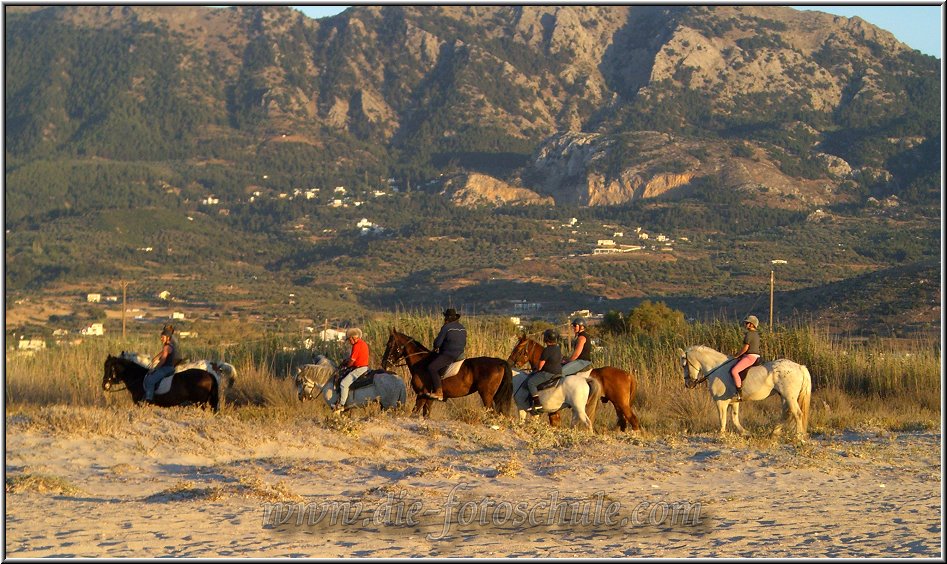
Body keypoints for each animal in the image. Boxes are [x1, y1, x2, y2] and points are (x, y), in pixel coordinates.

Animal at [380, 328, 516, 416]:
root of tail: (499, 362)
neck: (421, 362)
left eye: (389, 344)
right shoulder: (428, 398)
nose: (384, 364)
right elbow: (425, 414)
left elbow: (415, 412)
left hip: (486, 394)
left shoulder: (421, 395)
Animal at [508, 334, 640, 432]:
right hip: (617, 404)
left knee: (632, 420)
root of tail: (628, 375)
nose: (509, 362)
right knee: (623, 421)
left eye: (518, 349)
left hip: (621, 404)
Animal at [676, 344, 812, 440]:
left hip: (789, 396)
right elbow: (735, 419)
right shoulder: (734, 402)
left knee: (797, 414)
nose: (688, 384)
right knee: (786, 413)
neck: (716, 368)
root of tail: (799, 366)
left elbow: (722, 419)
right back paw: (774, 433)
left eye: (684, 365)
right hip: (784, 396)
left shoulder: (721, 402)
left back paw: (799, 437)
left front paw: (721, 436)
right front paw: (746, 433)